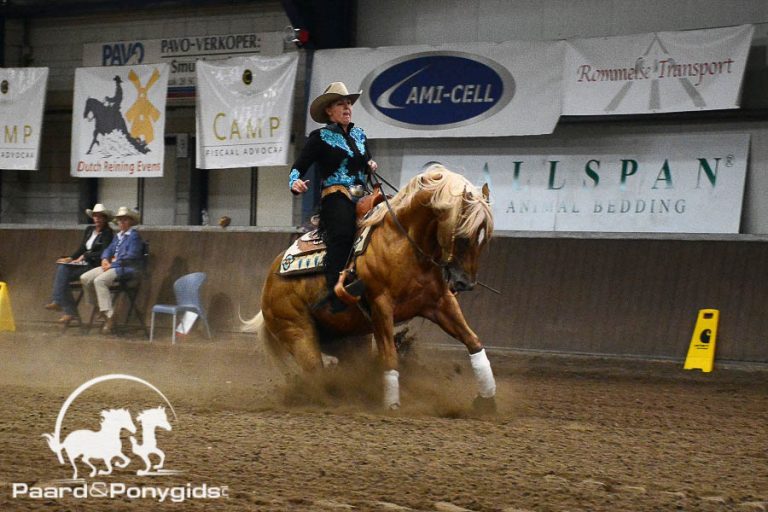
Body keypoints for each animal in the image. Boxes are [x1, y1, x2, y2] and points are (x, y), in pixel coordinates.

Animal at [245, 165, 497, 410]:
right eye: (463, 236)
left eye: (484, 239)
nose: (465, 283)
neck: (403, 242)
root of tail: (270, 281)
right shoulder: (381, 306)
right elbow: (390, 357)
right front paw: (392, 404)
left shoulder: (440, 303)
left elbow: (473, 341)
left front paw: (487, 401)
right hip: (298, 334)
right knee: (315, 371)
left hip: (350, 341)